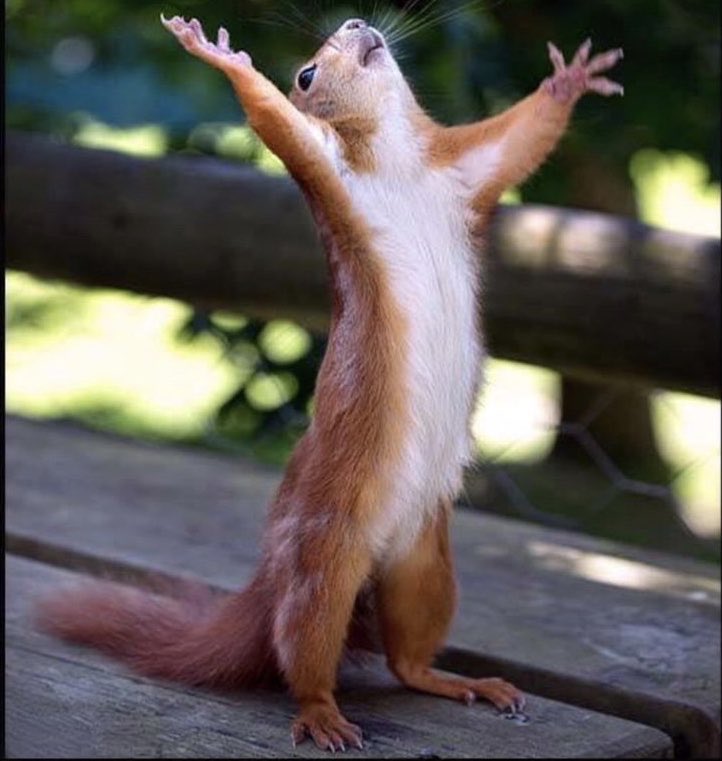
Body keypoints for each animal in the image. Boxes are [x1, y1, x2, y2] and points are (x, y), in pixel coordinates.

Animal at [37, 14, 623, 753]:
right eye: (306, 74)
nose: (356, 23)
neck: (398, 160)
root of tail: (271, 578)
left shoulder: (466, 171)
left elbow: (520, 139)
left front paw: (570, 79)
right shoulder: (327, 170)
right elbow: (276, 122)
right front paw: (222, 57)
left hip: (425, 563)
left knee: (407, 658)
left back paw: (462, 682)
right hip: (324, 562)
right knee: (305, 649)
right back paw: (322, 713)